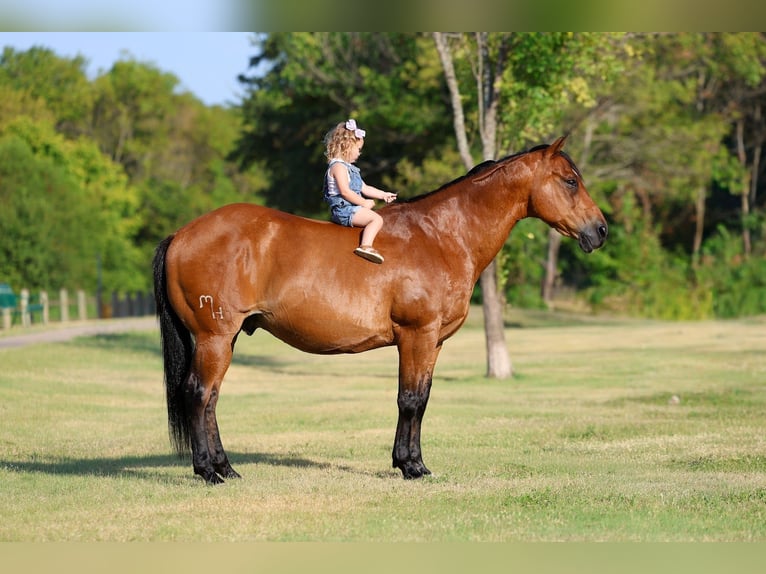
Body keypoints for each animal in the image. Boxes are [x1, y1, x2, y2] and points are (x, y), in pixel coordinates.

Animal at [152, 135, 607, 484]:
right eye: (570, 181)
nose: (600, 230)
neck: (442, 235)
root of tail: (182, 234)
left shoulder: (433, 342)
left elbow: (421, 398)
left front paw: (413, 462)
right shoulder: (416, 335)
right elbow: (409, 399)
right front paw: (411, 467)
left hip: (223, 340)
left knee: (211, 399)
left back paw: (226, 468)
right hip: (214, 338)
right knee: (198, 394)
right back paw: (207, 472)